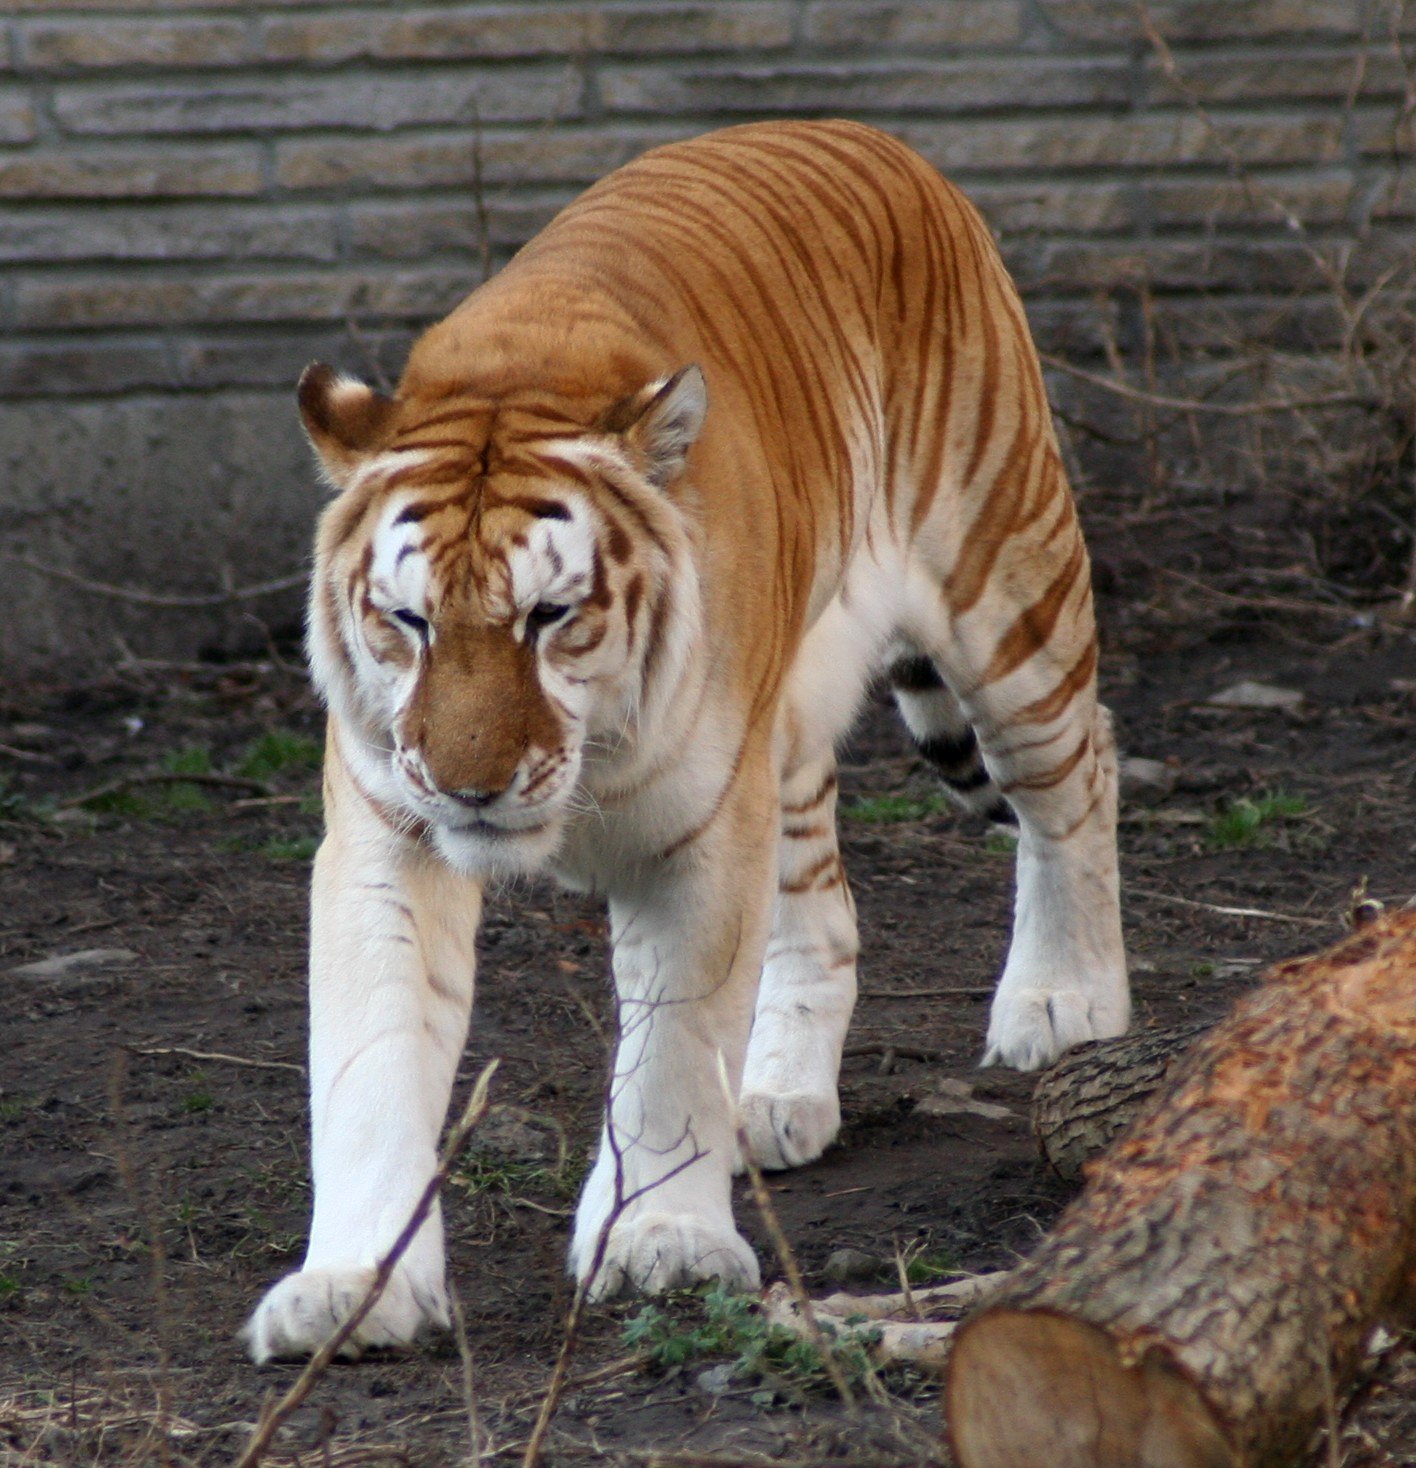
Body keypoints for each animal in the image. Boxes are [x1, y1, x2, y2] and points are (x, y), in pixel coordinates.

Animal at [246, 117, 1126, 1362]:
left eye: (549, 616)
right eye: (408, 621)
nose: (470, 787)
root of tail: (865, 131)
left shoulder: (698, 835)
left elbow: (668, 1053)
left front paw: (658, 1239)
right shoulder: (387, 837)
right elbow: (371, 1061)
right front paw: (354, 1284)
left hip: (1009, 596)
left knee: (1078, 771)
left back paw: (1063, 1000)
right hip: (790, 727)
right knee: (824, 906)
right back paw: (776, 1098)